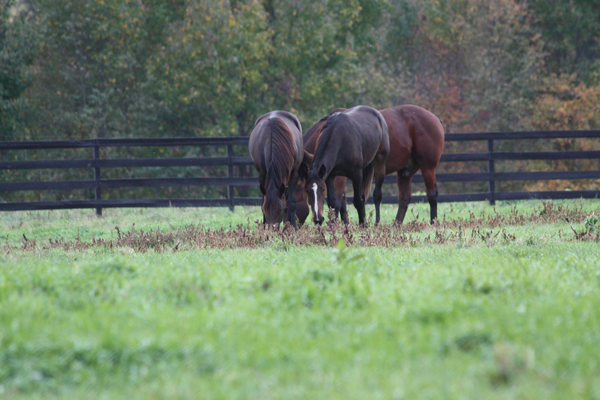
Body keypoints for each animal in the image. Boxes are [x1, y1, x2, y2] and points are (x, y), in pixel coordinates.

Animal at [296, 104, 442, 225]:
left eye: (322, 189)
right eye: (307, 191)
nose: (317, 220)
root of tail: (435, 119)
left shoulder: (347, 176)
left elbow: (346, 202)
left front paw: (354, 224)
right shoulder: (331, 175)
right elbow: (335, 202)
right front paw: (338, 225)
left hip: (425, 167)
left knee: (430, 194)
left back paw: (432, 222)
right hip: (406, 172)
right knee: (404, 199)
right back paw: (396, 225)